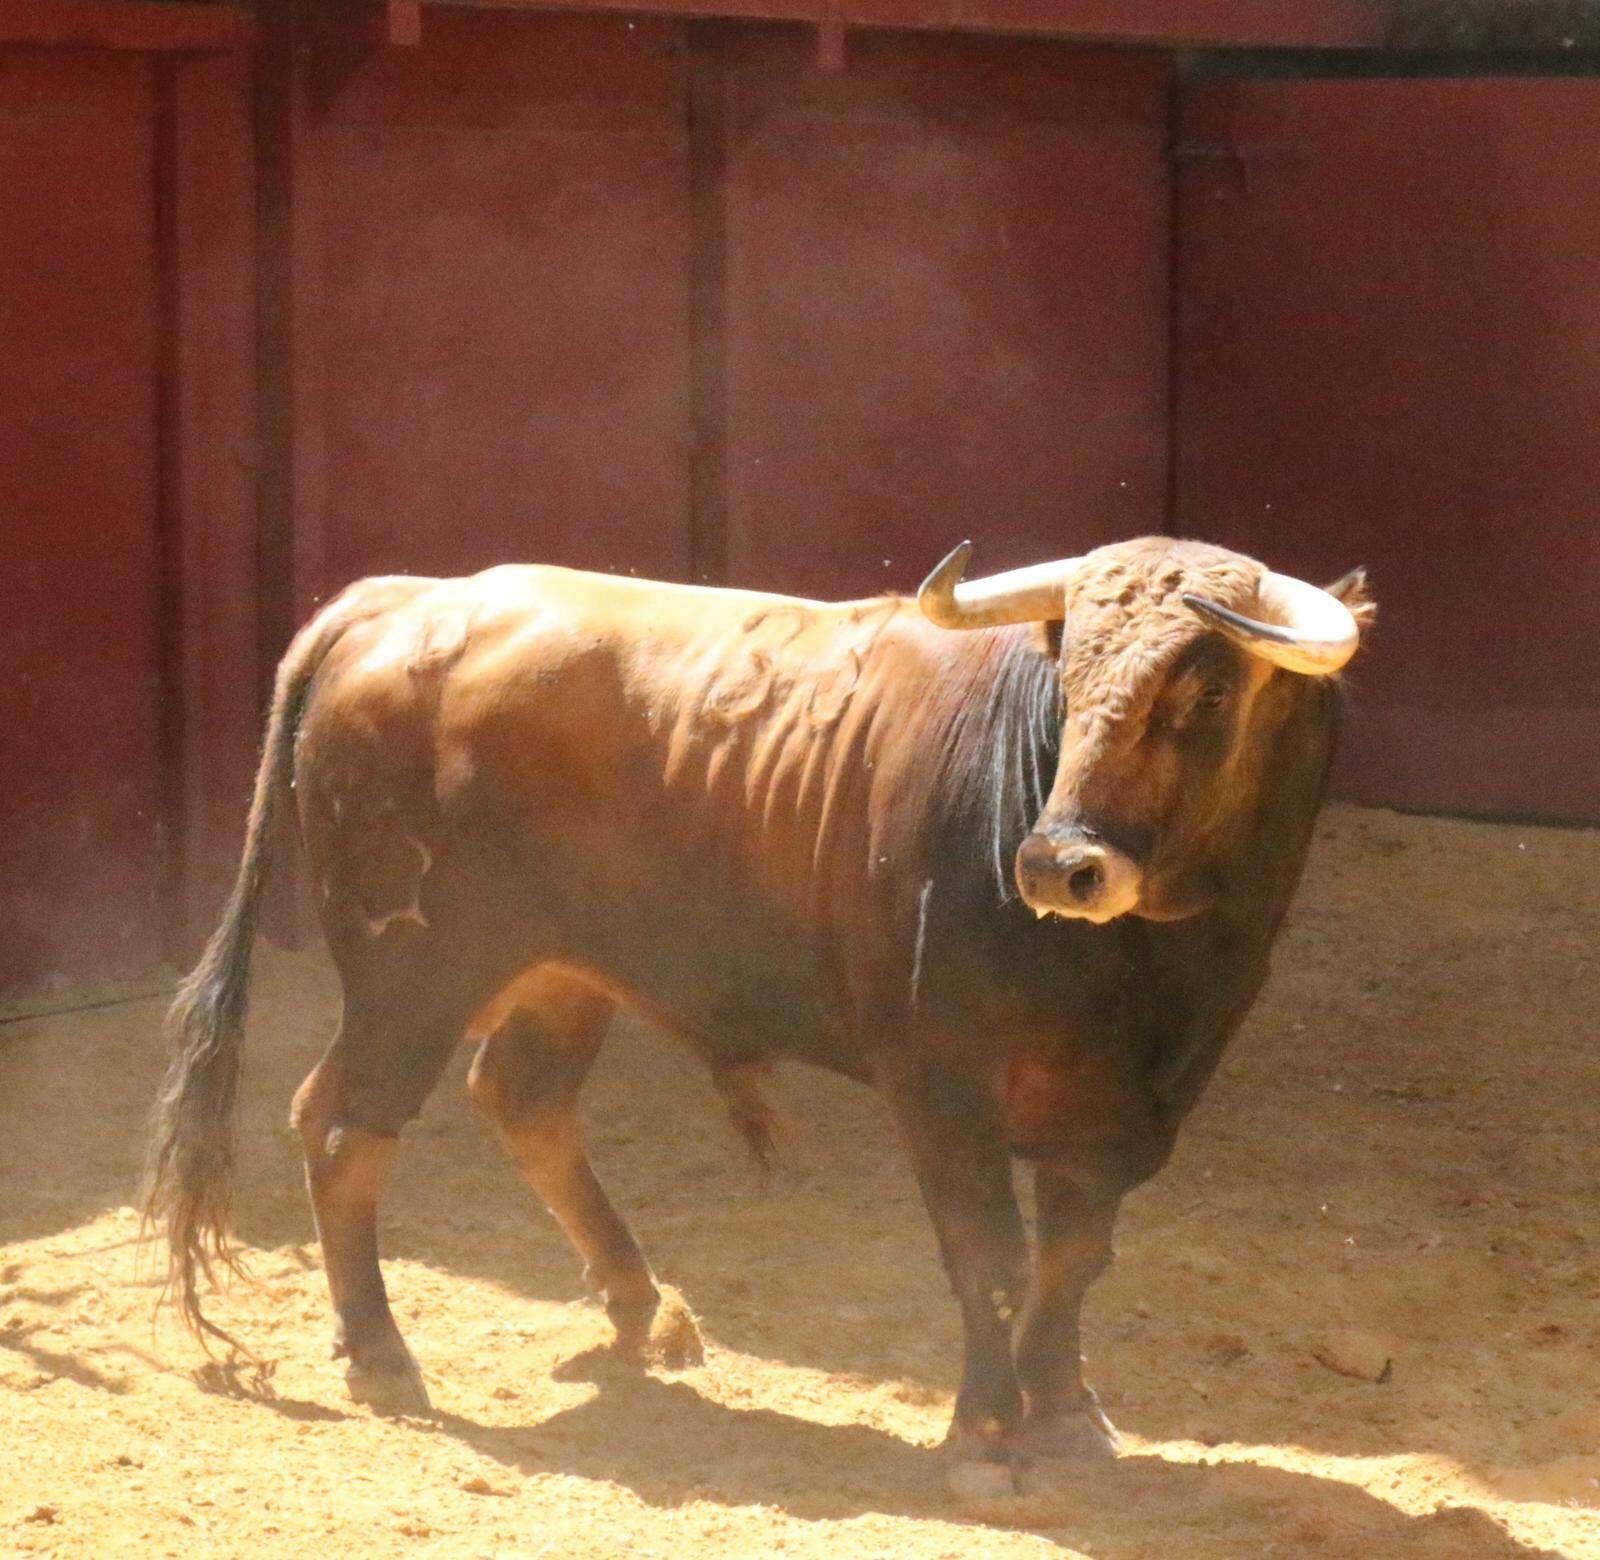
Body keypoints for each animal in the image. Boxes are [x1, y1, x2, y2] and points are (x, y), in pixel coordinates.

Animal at [145, 535, 1371, 1487]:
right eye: (1065, 678)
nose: (1055, 865)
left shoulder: (1128, 1107)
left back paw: (638, 1304)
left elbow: (1073, 1257)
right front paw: (984, 1436)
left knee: (519, 1099)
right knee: (343, 1124)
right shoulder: (941, 1086)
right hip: (411, 974)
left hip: (560, 974)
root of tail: (403, 598)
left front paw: (1065, 1414)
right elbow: (987, 1251)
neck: (1142, 970)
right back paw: (384, 1355)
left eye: (1210, 691)